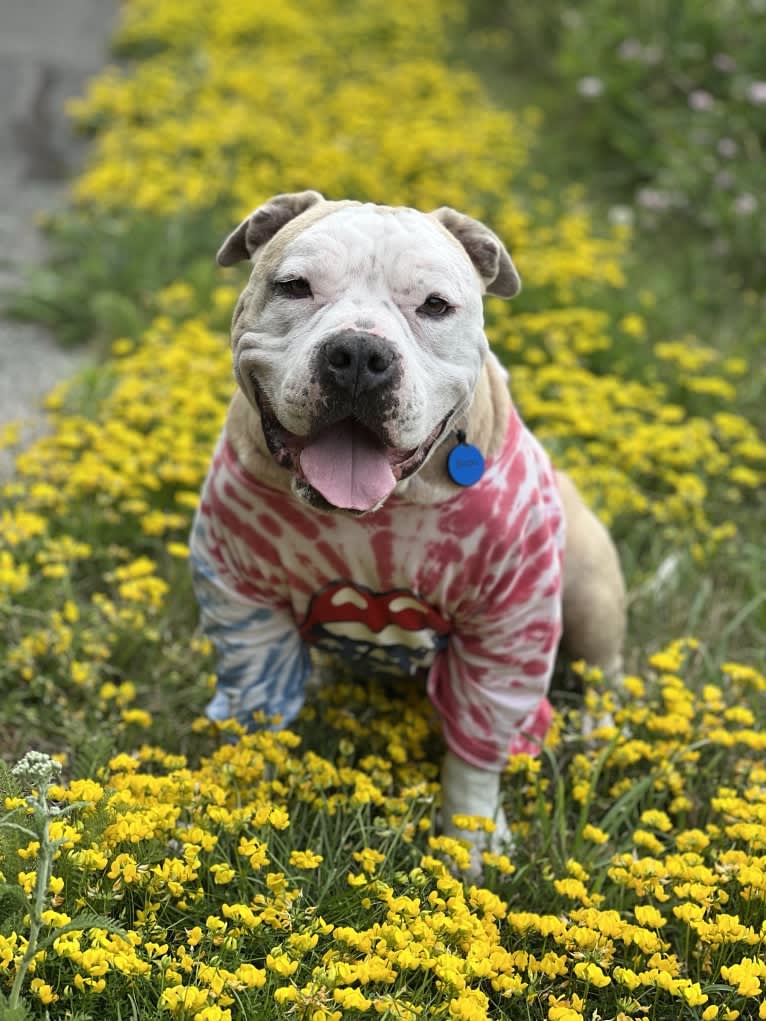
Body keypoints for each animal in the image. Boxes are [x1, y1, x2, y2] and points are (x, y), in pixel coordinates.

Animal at [188, 189, 625, 861]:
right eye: (294, 287)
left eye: (436, 306)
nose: (359, 356)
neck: (377, 514)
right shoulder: (241, 605)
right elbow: (259, 709)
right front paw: (243, 799)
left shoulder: (509, 626)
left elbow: (476, 751)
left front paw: (469, 840)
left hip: (589, 589)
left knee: (604, 672)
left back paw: (595, 733)